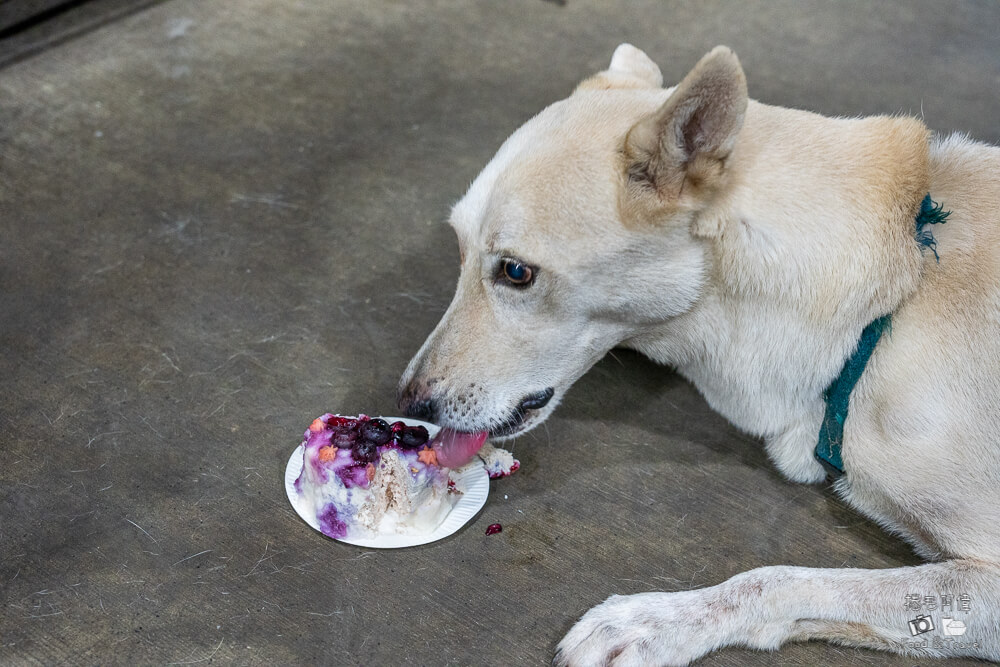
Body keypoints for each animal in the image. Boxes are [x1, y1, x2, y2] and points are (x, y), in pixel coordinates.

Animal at [398, 44, 1000, 664]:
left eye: (516, 272)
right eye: (458, 247)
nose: (409, 403)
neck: (893, 297)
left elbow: (776, 578)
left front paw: (652, 621)